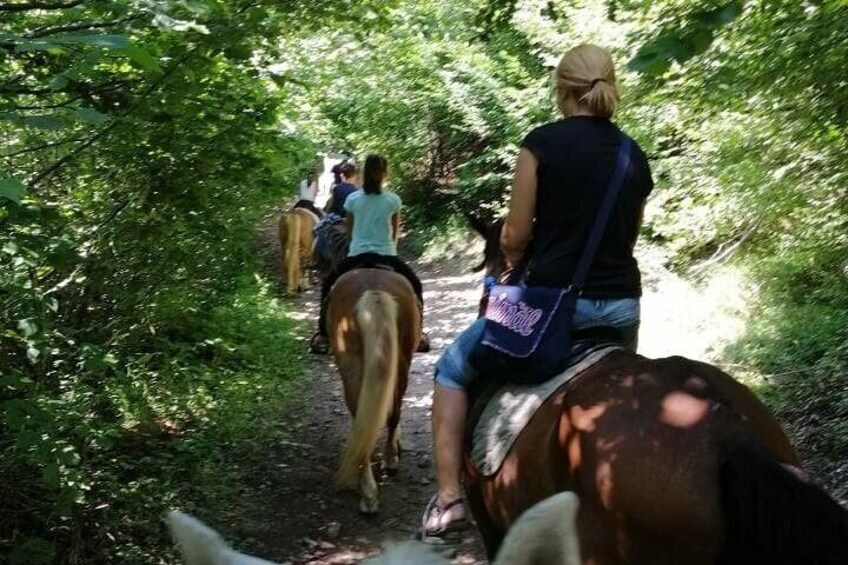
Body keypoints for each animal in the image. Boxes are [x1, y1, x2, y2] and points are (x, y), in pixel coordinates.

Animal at [324, 266, 420, 512]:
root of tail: (374, 293)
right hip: (401, 360)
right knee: (393, 410)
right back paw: (387, 464)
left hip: (352, 363)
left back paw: (369, 489)